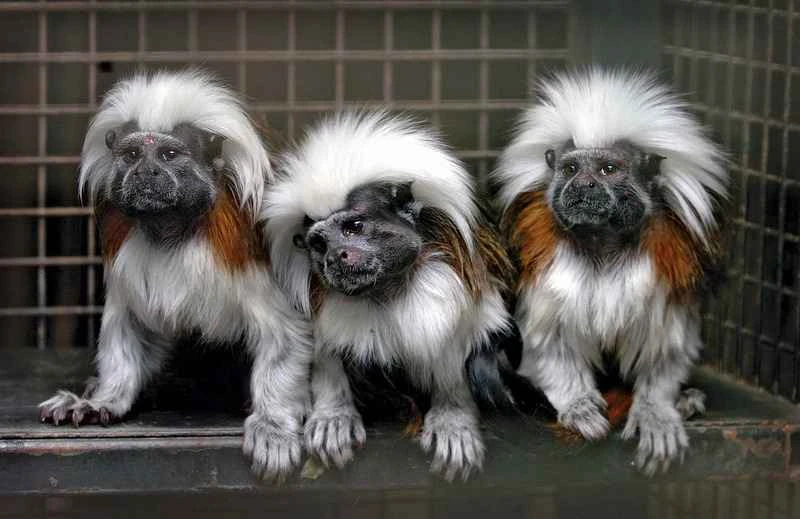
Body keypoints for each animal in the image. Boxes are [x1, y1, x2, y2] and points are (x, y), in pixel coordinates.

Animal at [37, 69, 312, 482]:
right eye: (132, 155)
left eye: (167, 155)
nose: (146, 172)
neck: (173, 229)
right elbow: (130, 327)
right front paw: (104, 399)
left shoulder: (245, 248)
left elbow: (284, 337)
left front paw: (273, 425)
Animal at [263, 111, 522, 481]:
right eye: (319, 244)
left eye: (354, 227)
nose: (335, 257)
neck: (388, 292)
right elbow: (325, 355)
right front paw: (333, 414)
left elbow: (462, 349)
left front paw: (453, 417)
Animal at [493, 68, 728, 475]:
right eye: (571, 168)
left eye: (608, 169)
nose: (583, 184)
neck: (603, 244)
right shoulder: (544, 264)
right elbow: (548, 342)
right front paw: (578, 406)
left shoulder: (667, 265)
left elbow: (664, 348)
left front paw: (657, 412)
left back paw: (686, 400)